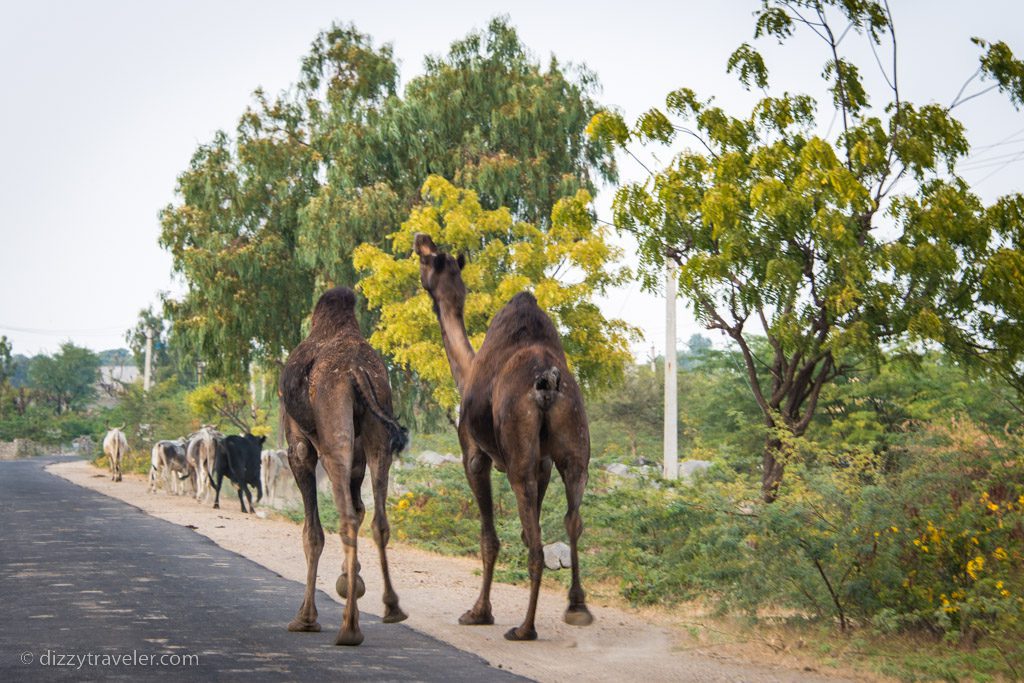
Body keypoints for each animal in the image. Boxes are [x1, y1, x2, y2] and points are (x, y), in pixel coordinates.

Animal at [280, 284, 411, 647]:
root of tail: (356, 373)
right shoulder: (360, 454)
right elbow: (362, 506)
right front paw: (350, 580)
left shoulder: (299, 449)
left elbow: (312, 532)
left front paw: (305, 618)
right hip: (379, 432)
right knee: (378, 520)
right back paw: (392, 608)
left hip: (332, 430)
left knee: (345, 518)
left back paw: (349, 628)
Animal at [413, 233, 598, 643]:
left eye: (427, 260)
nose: (421, 238)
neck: (466, 372)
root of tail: (548, 381)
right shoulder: (543, 463)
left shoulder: (474, 455)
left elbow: (489, 538)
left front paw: (479, 612)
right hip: (575, 446)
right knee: (572, 519)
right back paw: (577, 607)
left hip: (518, 458)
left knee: (536, 535)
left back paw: (525, 628)